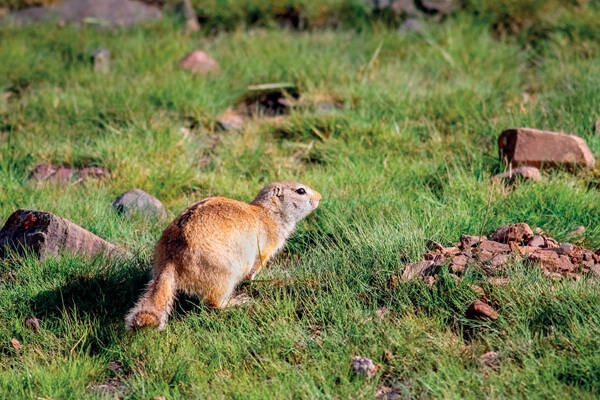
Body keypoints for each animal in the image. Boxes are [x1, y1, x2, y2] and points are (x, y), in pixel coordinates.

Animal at [125, 180, 322, 328]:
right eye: (301, 190)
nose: (320, 197)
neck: (268, 213)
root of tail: (171, 260)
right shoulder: (267, 245)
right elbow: (256, 266)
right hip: (223, 273)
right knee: (212, 302)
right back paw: (236, 302)